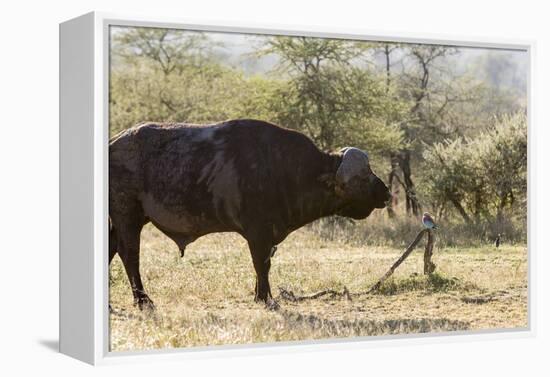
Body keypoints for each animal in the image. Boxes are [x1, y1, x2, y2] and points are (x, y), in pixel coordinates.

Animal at [109, 119, 392, 310]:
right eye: (363, 177)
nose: (386, 193)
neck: (289, 170)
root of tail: (112, 144)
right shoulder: (258, 233)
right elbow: (261, 263)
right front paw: (266, 298)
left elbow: (262, 265)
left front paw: (260, 295)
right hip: (127, 215)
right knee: (129, 255)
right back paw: (143, 300)